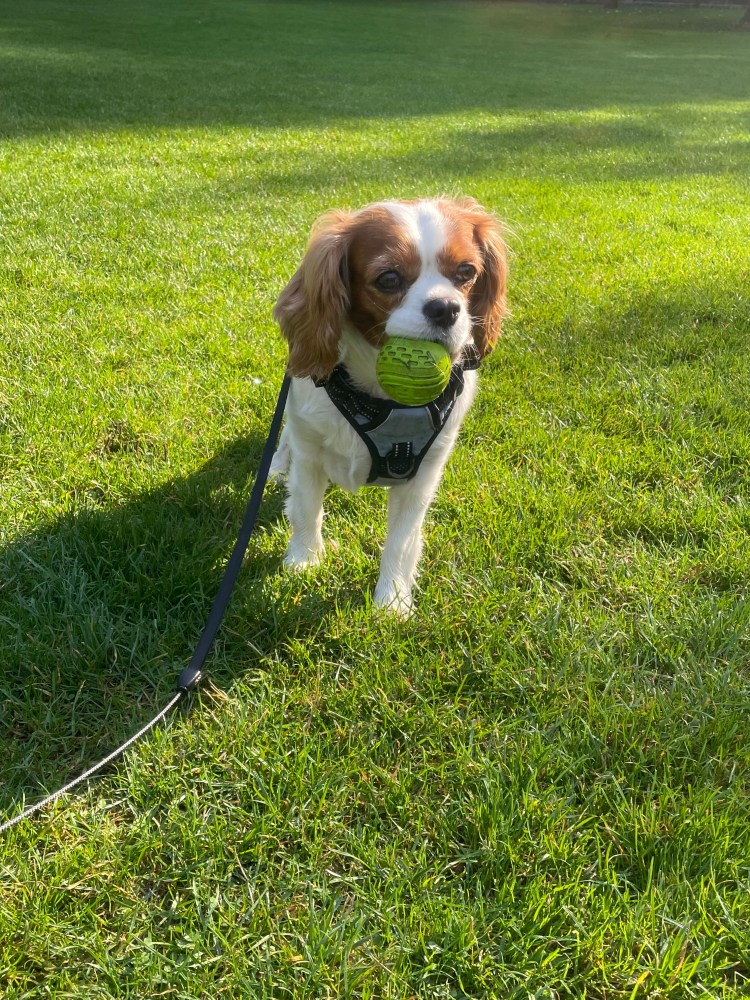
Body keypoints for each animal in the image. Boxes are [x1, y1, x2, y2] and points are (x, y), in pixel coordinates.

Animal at [270, 197, 508, 615]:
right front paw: (304, 561)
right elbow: (306, 508)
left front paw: (392, 601)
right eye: (389, 279)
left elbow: (401, 540)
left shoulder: (422, 474)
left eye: (466, 271)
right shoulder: (310, 451)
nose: (446, 307)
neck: (380, 401)